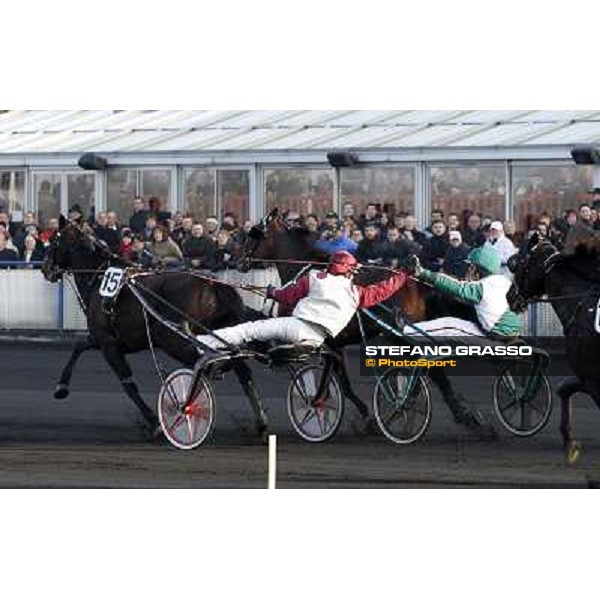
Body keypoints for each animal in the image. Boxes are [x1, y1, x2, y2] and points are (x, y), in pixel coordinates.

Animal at [41, 218, 268, 438]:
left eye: (54, 242)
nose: (45, 269)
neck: (99, 279)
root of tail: (211, 284)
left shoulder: (108, 343)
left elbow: (128, 383)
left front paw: (154, 423)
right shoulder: (110, 340)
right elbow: (79, 346)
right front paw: (61, 387)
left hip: (172, 339)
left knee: (206, 364)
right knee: (243, 371)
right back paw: (260, 423)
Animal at [241, 206, 494, 436]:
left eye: (253, 234)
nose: (240, 259)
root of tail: (415, 281)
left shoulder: (327, 342)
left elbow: (340, 383)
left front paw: (344, 411)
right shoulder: (336, 343)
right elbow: (341, 380)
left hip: (398, 335)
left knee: (432, 368)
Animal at [506, 231, 600, 464]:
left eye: (519, 264)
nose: (510, 296)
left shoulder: (593, 378)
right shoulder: (587, 377)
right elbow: (563, 389)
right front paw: (569, 440)